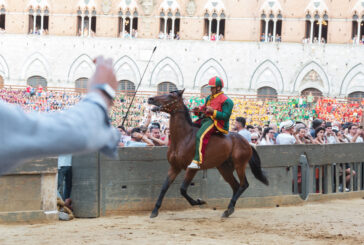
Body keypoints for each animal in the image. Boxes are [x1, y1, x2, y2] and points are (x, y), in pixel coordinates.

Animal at [146, 90, 268, 218]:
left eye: (171, 95)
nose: (150, 99)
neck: (183, 138)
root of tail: (246, 142)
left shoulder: (192, 169)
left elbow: (183, 189)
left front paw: (199, 201)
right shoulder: (175, 167)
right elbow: (164, 187)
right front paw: (155, 210)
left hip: (240, 165)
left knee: (243, 185)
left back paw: (228, 209)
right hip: (224, 168)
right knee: (235, 186)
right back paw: (229, 210)